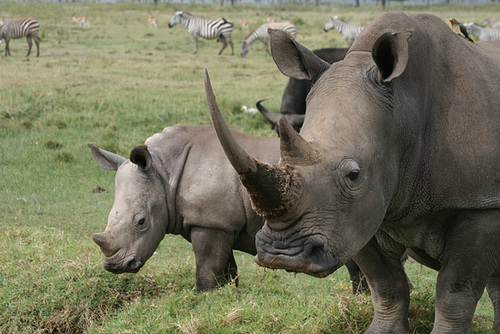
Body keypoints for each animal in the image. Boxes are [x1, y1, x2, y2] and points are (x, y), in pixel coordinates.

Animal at [88, 124, 368, 292]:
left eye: (141, 222)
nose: (115, 266)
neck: (164, 171)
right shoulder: (219, 224)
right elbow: (225, 269)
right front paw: (227, 296)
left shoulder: (211, 223)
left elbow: (207, 268)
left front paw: (204, 297)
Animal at [206, 11, 500, 332]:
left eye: (354, 175)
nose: (283, 255)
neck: (404, 111)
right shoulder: (358, 213)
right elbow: (385, 282)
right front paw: (382, 330)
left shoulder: (480, 203)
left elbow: (455, 288)